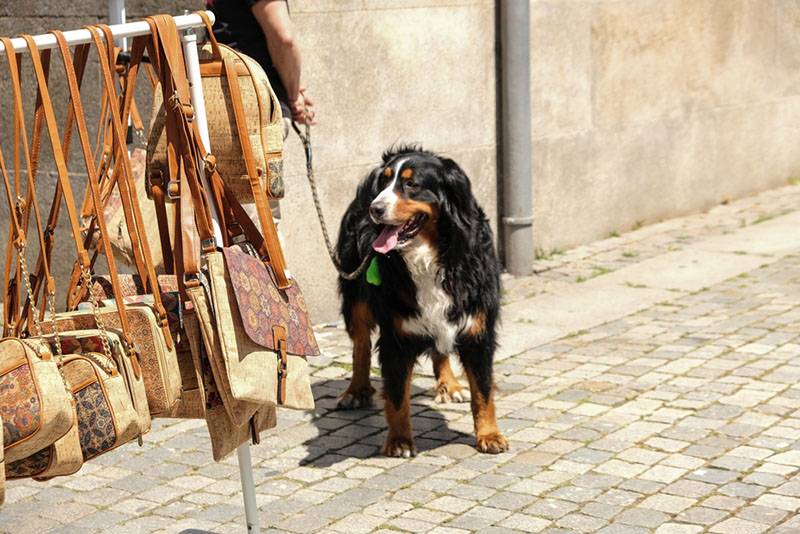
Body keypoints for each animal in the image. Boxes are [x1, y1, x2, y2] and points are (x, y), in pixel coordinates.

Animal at [334, 146, 510, 456]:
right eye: (385, 182)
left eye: (411, 184)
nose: (375, 208)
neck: (431, 256)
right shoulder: (395, 336)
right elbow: (396, 397)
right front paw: (400, 441)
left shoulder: (478, 331)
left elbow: (483, 390)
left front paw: (489, 434)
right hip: (355, 294)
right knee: (360, 346)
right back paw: (356, 391)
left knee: (441, 349)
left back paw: (449, 385)